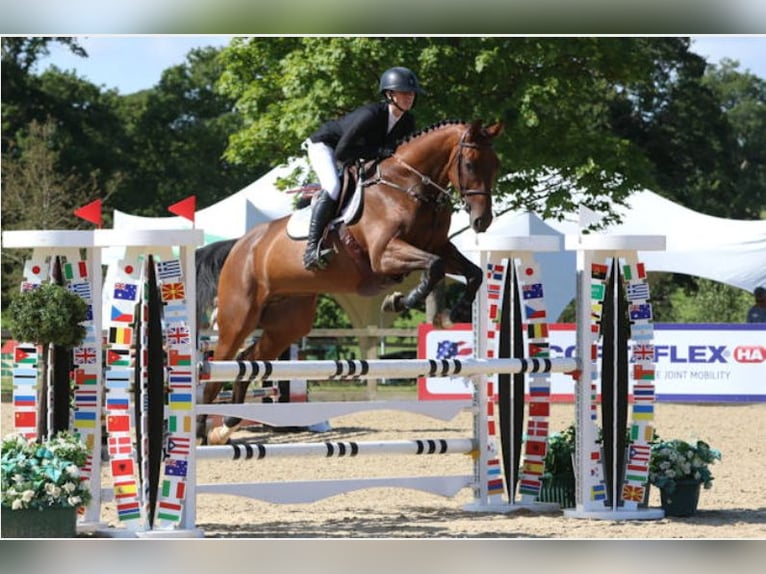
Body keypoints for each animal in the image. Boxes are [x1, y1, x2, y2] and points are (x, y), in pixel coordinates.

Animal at [196, 120, 504, 446]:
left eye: (496, 165)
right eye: (469, 164)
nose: (482, 221)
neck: (408, 186)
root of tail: (240, 244)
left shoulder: (440, 246)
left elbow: (473, 272)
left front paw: (454, 314)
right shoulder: (385, 254)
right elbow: (434, 266)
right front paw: (399, 300)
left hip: (287, 324)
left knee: (248, 359)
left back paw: (227, 424)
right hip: (238, 318)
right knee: (215, 371)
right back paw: (204, 429)